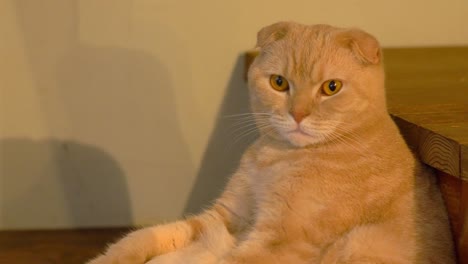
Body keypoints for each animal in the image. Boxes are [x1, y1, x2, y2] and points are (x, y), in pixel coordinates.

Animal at [87, 21, 454, 262]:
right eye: (279, 83)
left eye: (331, 87)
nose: (298, 114)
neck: (276, 157)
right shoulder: (224, 218)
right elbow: (139, 238)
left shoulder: (277, 243)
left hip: (359, 242)